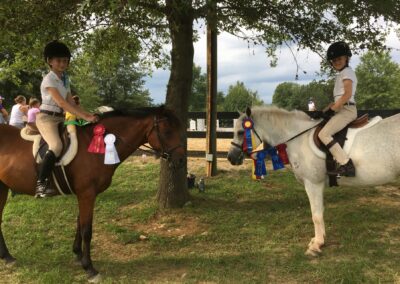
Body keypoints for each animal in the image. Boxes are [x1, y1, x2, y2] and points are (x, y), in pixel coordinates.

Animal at [0, 106, 184, 282]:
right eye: (167, 132)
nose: (180, 161)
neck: (95, 147)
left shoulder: (84, 194)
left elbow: (79, 223)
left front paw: (78, 255)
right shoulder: (87, 193)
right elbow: (87, 230)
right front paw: (89, 268)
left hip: (3, 188)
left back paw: (7, 257)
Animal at [228, 106, 400, 258]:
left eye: (241, 132)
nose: (231, 158)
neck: (298, 138)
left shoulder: (312, 183)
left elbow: (315, 214)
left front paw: (316, 245)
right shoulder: (318, 185)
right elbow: (320, 212)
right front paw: (320, 239)